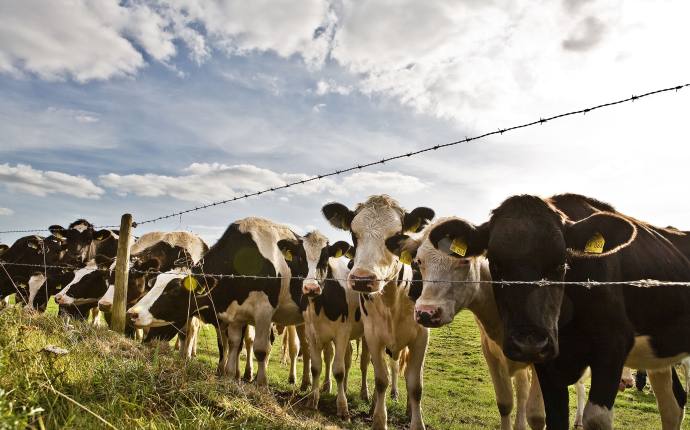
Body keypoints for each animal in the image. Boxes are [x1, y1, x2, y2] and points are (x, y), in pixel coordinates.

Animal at [127, 218, 310, 386]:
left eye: (174, 291)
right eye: (153, 285)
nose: (132, 313)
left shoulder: (263, 311)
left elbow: (259, 348)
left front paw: (260, 384)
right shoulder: (232, 314)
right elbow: (229, 343)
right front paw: (227, 374)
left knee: (300, 347)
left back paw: (303, 382)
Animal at [276, 232, 370, 416]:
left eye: (326, 258)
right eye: (300, 257)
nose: (311, 287)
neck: (321, 305)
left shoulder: (342, 333)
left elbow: (339, 370)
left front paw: (342, 407)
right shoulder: (312, 333)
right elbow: (316, 367)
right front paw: (313, 400)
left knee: (364, 362)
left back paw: (367, 394)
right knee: (346, 357)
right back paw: (341, 388)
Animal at [320, 196, 432, 430]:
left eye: (396, 236)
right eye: (353, 234)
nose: (362, 279)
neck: (392, 300)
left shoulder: (421, 337)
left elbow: (415, 385)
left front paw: (416, 421)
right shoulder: (372, 335)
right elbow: (381, 379)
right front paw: (379, 419)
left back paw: (407, 408)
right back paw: (372, 405)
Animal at [428, 195, 688, 430]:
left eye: (561, 263)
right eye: (495, 264)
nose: (529, 343)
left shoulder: (613, 345)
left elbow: (596, 419)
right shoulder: (547, 366)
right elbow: (552, 418)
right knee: (673, 403)